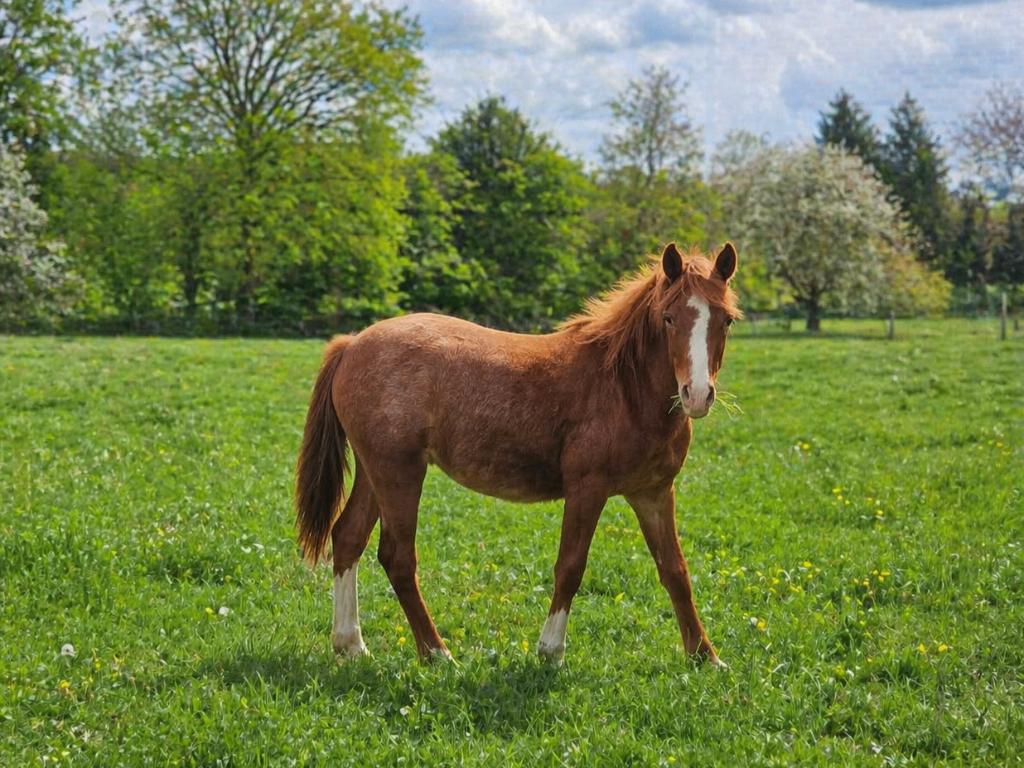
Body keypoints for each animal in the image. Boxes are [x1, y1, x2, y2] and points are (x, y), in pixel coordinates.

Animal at [295, 241, 740, 667]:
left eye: (726, 320)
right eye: (668, 318)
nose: (697, 395)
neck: (624, 388)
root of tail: (352, 344)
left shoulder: (653, 492)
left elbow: (675, 571)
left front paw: (706, 657)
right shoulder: (587, 489)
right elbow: (571, 566)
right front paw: (551, 651)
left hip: (375, 472)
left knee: (348, 537)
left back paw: (351, 644)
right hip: (399, 473)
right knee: (397, 556)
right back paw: (437, 653)